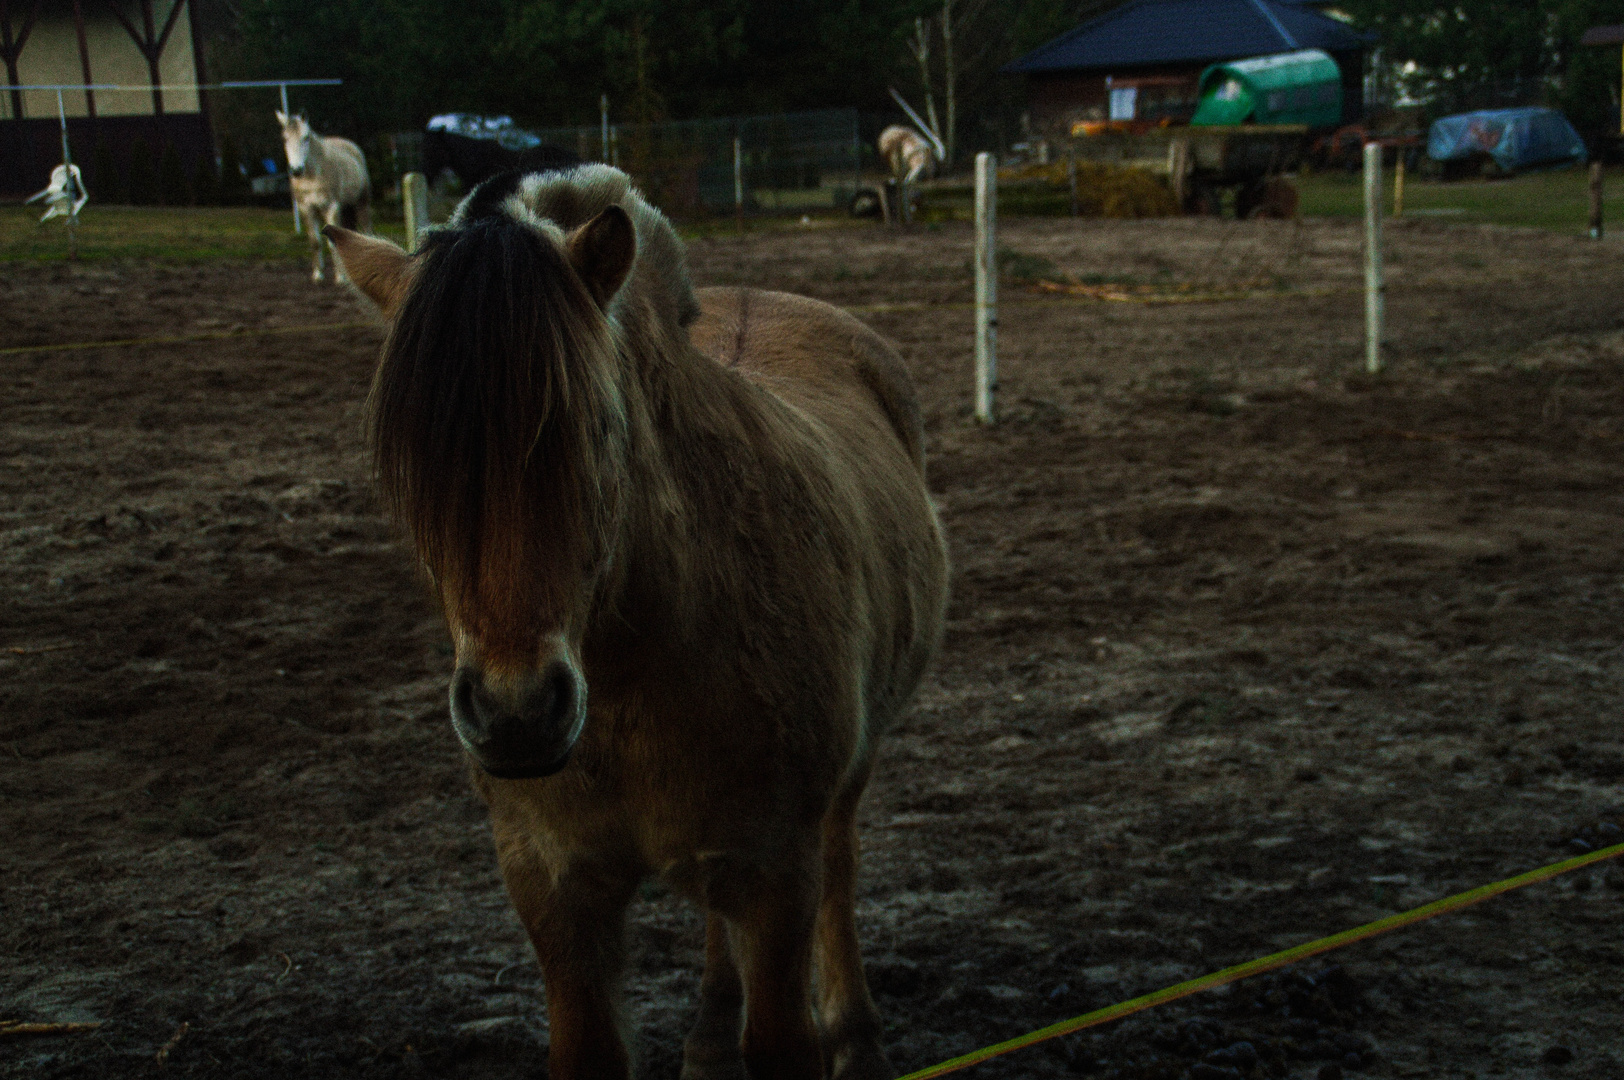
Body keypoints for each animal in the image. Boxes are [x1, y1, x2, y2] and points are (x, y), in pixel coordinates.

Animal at [277, 110, 371, 282]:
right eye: (285, 139)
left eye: (306, 137)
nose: (296, 170)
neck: (312, 175)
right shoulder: (307, 209)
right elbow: (315, 242)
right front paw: (318, 274)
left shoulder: (331, 207)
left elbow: (332, 243)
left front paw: (340, 278)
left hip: (362, 202)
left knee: (366, 227)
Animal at [321, 162, 948, 1078]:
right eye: (414, 465)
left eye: (597, 427)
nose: (515, 715)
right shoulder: (555, 889)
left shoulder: (776, 876)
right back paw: (710, 1032)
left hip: (842, 785)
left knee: (840, 860)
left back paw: (856, 1036)